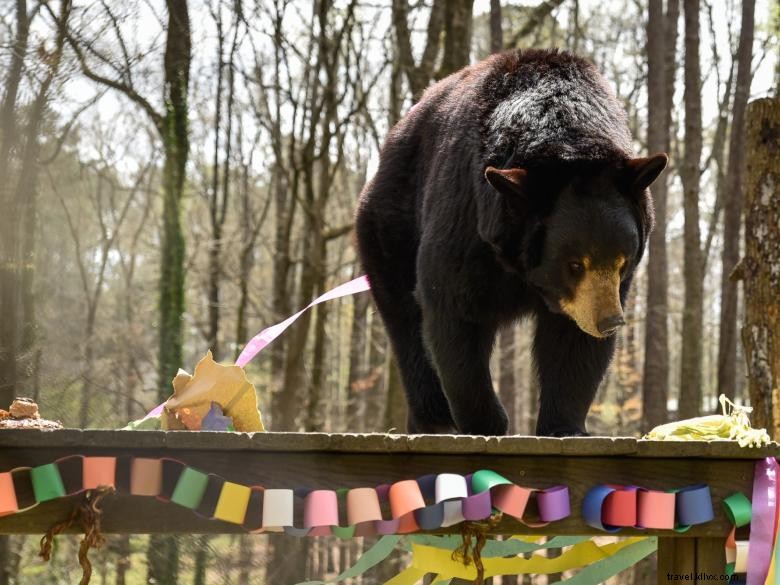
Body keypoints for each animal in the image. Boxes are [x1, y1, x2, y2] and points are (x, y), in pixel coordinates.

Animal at [355, 49, 667, 437]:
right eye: (574, 264)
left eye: (623, 261)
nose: (610, 322)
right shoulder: (468, 217)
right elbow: (454, 309)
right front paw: (486, 420)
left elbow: (572, 343)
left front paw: (564, 425)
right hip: (389, 227)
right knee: (406, 321)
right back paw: (434, 419)